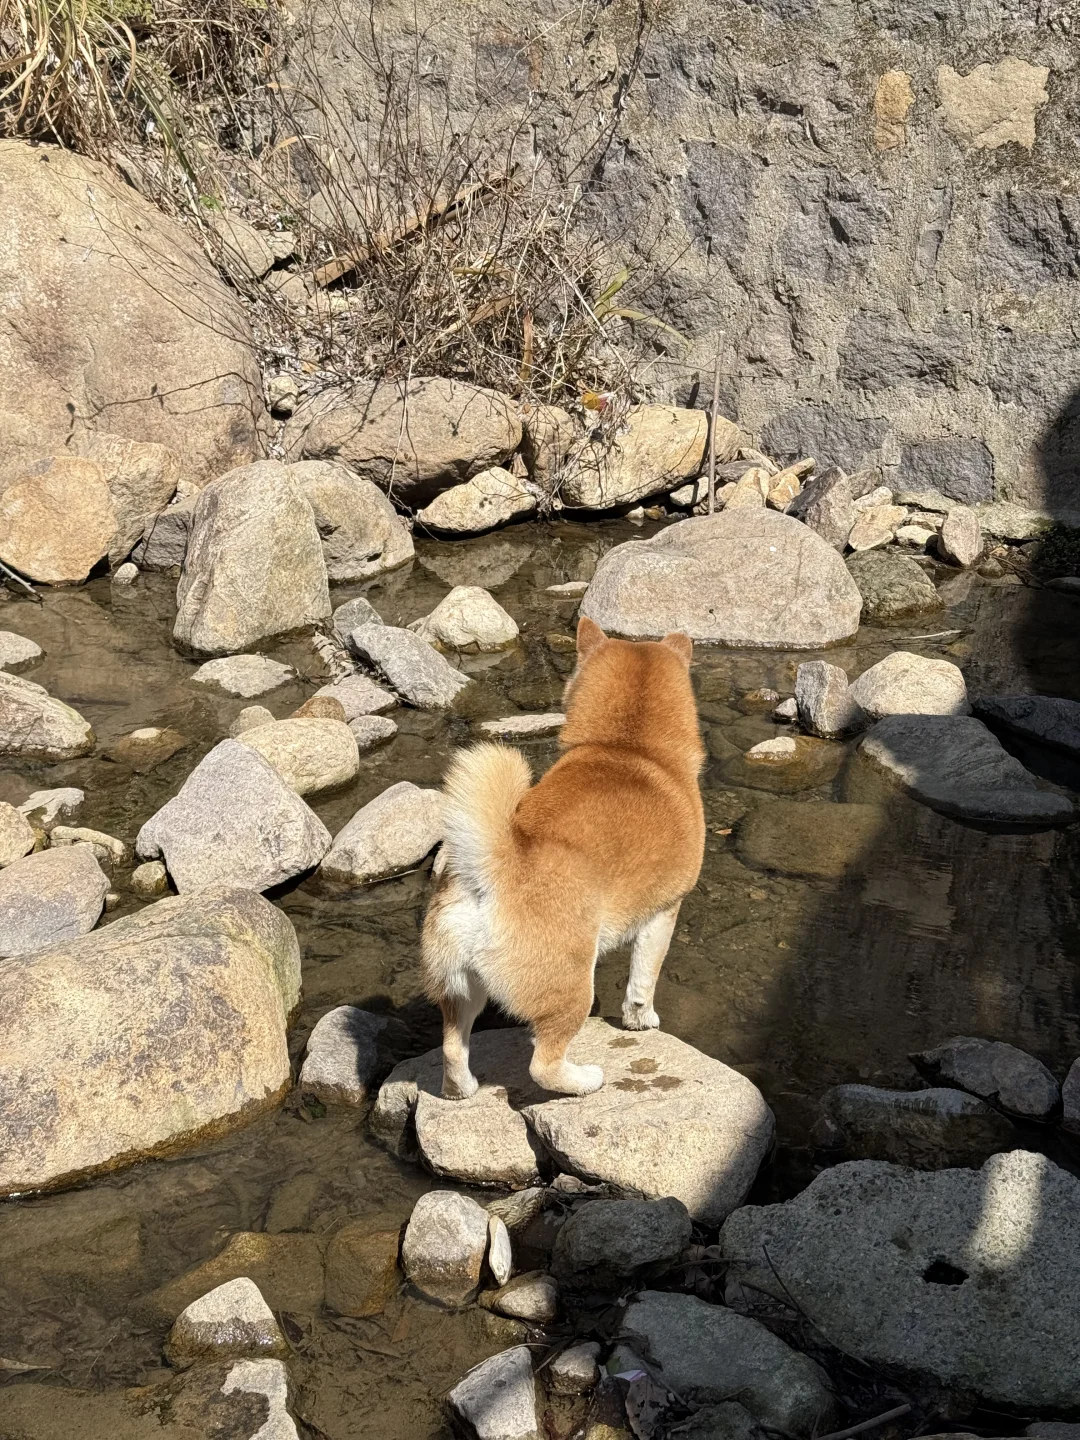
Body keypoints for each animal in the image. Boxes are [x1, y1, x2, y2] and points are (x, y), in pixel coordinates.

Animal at [421, 614, 705, 1099]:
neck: (627, 745)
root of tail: (495, 870)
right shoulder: (663, 913)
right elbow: (642, 980)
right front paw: (641, 1020)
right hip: (571, 988)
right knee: (544, 1063)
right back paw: (584, 1081)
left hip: (460, 990)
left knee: (453, 1048)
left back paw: (462, 1089)